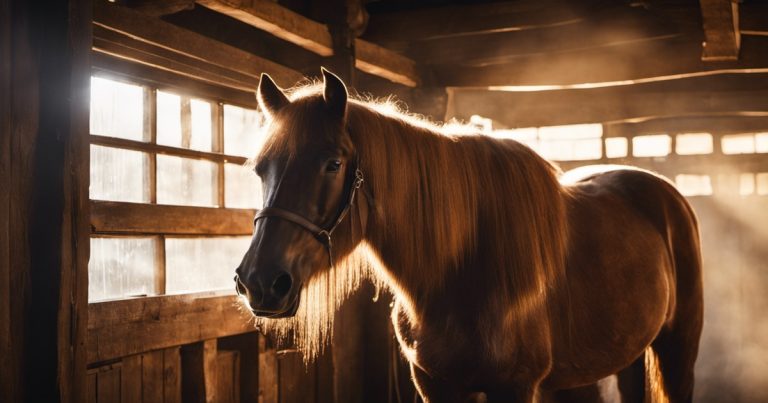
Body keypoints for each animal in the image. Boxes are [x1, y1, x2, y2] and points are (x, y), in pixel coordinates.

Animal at [234, 68, 703, 403]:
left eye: (332, 164)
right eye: (261, 169)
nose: (259, 282)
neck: (461, 270)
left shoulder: (515, 387)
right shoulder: (435, 385)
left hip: (678, 350)